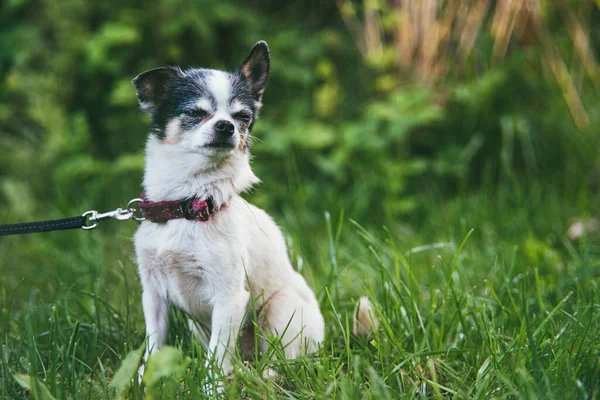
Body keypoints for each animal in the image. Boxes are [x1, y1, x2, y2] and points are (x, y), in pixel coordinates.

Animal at [131, 40, 326, 382]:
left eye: (243, 116)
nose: (226, 125)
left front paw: (212, 388)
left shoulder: (229, 298)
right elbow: (154, 348)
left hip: (279, 313)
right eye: (195, 113)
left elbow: (216, 359)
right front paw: (144, 382)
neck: (187, 203)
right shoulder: (153, 295)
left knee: (285, 362)